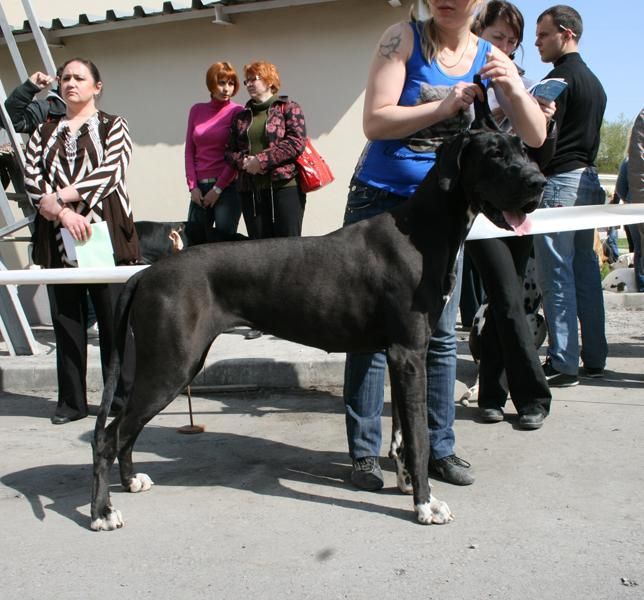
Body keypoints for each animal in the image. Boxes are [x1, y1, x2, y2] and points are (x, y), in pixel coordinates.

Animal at [90, 109, 546, 531]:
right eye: (493, 154)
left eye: (523, 150)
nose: (538, 183)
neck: (421, 230)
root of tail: (145, 273)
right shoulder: (409, 354)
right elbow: (418, 436)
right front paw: (425, 504)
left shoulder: (401, 355)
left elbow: (402, 432)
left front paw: (405, 484)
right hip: (170, 365)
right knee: (109, 434)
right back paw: (102, 512)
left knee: (124, 431)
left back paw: (129, 482)